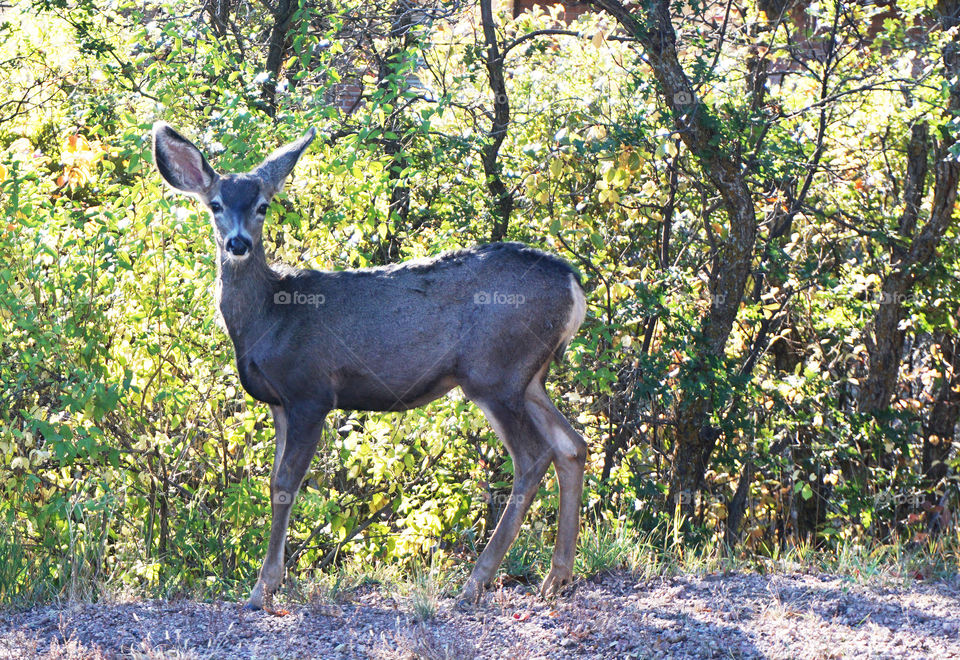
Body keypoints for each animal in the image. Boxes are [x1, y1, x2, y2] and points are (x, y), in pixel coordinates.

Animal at [151, 122, 588, 610]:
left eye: (263, 205)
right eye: (216, 205)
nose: (238, 243)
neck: (270, 317)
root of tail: (574, 283)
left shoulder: (311, 392)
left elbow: (284, 485)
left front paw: (262, 588)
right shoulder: (279, 403)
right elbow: (273, 483)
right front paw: (272, 581)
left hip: (495, 371)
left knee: (534, 456)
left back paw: (476, 582)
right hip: (529, 378)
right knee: (573, 445)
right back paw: (557, 578)